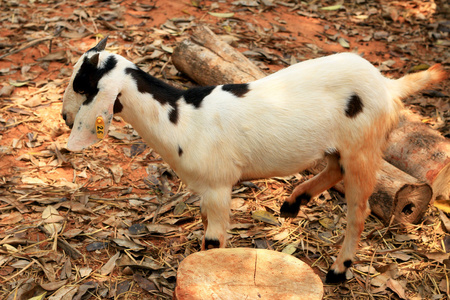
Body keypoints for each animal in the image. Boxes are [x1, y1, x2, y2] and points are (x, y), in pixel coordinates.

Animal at [62, 37, 446, 284]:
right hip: (342, 146)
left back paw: (339, 270)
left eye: (81, 85)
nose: (66, 118)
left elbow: (213, 242)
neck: (180, 118)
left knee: (359, 211)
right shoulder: (206, 191)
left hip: (363, 147)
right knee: (333, 167)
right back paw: (293, 202)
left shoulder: (218, 187)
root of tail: (388, 85)